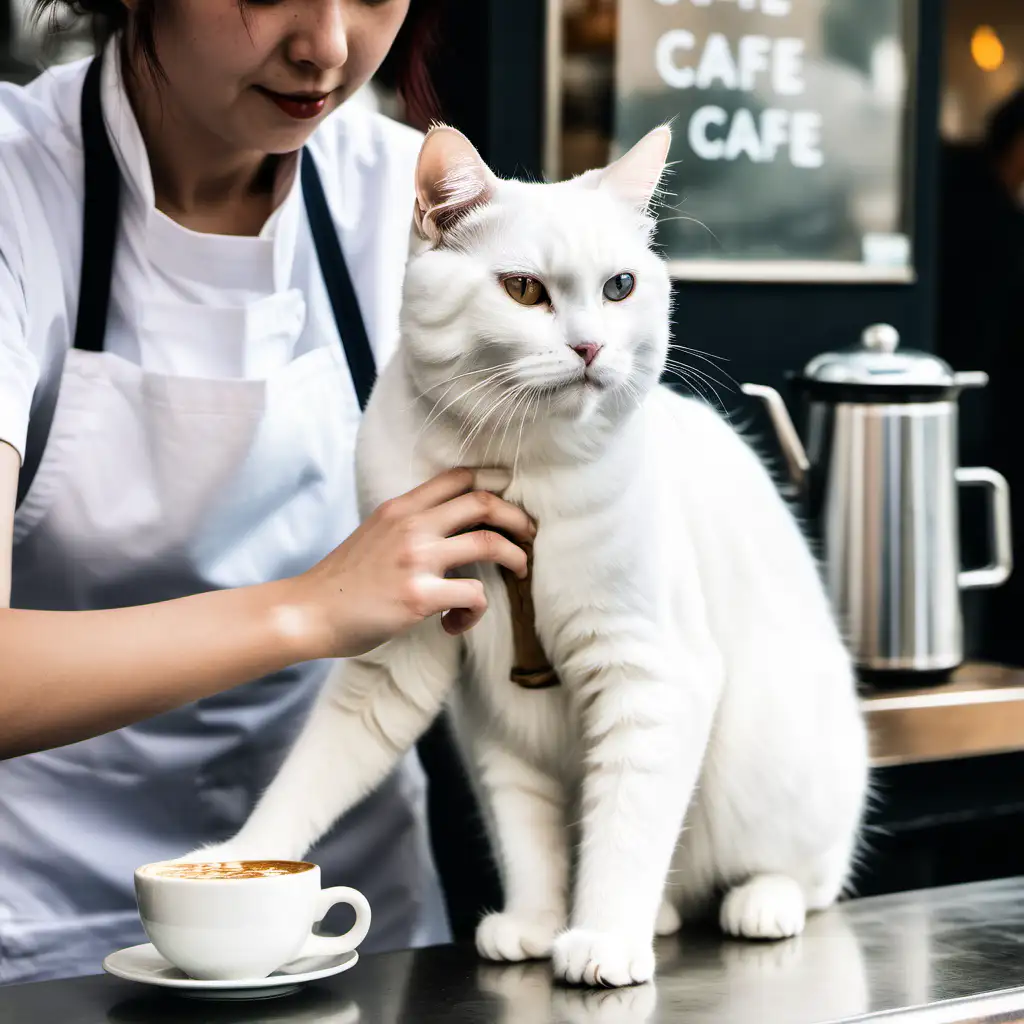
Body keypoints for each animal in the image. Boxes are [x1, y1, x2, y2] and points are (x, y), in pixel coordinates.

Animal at [190, 123, 864, 987]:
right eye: (521, 290)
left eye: (619, 286)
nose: (589, 346)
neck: (517, 480)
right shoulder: (448, 695)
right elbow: (492, 830)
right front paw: (539, 926)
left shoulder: (651, 675)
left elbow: (624, 832)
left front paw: (602, 940)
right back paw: (656, 918)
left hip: (777, 766)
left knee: (803, 878)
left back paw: (756, 905)